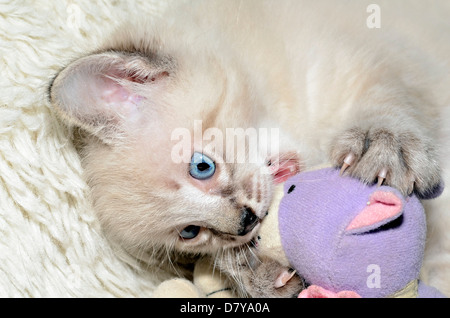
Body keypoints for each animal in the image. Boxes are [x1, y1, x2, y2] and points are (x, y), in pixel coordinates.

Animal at [47, 0, 448, 298]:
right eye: (190, 232)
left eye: (201, 167)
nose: (245, 222)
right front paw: (258, 272)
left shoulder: (375, 62)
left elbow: (390, 100)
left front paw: (383, 145)